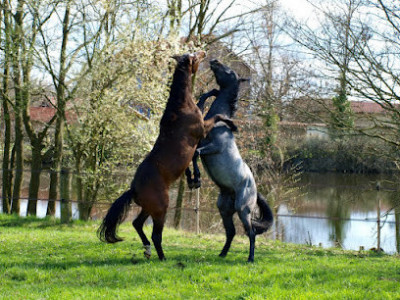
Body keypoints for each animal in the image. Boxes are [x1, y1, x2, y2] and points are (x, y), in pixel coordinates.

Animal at [98, 51, 236, 260]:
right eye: (194, 57)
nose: (204, 53)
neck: (180, 106)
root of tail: (133, 189)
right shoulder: (203, 129)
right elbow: (216, 117)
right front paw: (232, 123)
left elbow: (202, 100)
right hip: (161, 208)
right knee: (156, 235)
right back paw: (162, 257)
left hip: (149, 208)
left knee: (137, 224)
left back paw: (147, 250)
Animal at [186, 59, 274, 262]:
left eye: (229, 71)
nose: (213, 61)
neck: (219, 123)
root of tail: (254, 190)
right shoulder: (198, 142)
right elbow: (191, 155)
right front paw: (192, 179)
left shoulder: (213, 148)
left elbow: (196, 155)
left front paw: (197, 179)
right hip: (224, 209)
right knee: (231, 232)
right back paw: (222, 254)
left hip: (243, 210)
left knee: (250, 233)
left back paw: (250, 259)